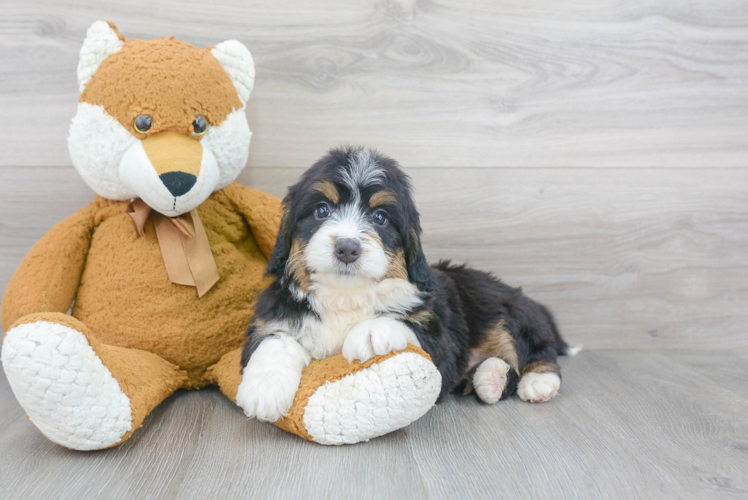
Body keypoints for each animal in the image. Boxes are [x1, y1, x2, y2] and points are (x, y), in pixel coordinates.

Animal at [237, 146, 576, 420]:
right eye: (322, 210)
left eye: (380, 217)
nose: (347, 248)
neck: (345, 296)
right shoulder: (275, 316)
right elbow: (276, 342)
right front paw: (263, 391)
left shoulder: (440, 337)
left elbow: (406, 323)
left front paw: (369, 332)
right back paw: (490, 378)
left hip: (505, 309)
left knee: (534, 349)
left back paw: (538, 382)